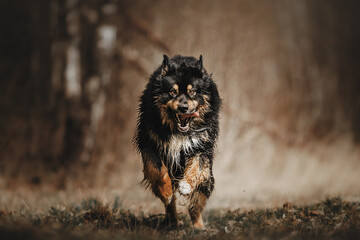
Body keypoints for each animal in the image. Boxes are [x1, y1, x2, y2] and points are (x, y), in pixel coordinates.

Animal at [134, 54, 221, 229]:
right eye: (172, 91)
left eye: (192, 91)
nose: (183, 108)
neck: (178, 131)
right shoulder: (150, 143)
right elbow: (158, 171)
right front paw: (166, 191)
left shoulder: (200, 146)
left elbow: (195, 168)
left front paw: (186, 185)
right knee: (170, 205)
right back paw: (172, 222)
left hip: (207, 179)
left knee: (196, 206)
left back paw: (199, 227)